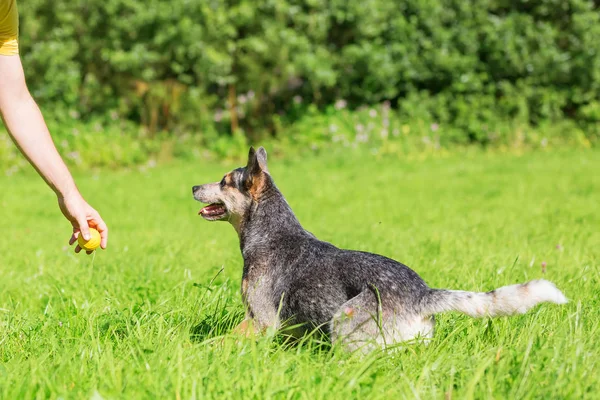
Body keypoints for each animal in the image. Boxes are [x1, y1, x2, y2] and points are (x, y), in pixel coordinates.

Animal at [192, 146, 568, 350]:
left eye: (224, 181)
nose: (194, 186)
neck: (270, 232)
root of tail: (423, 295)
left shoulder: (259, 320)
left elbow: (219, 342)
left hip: (344, 321)